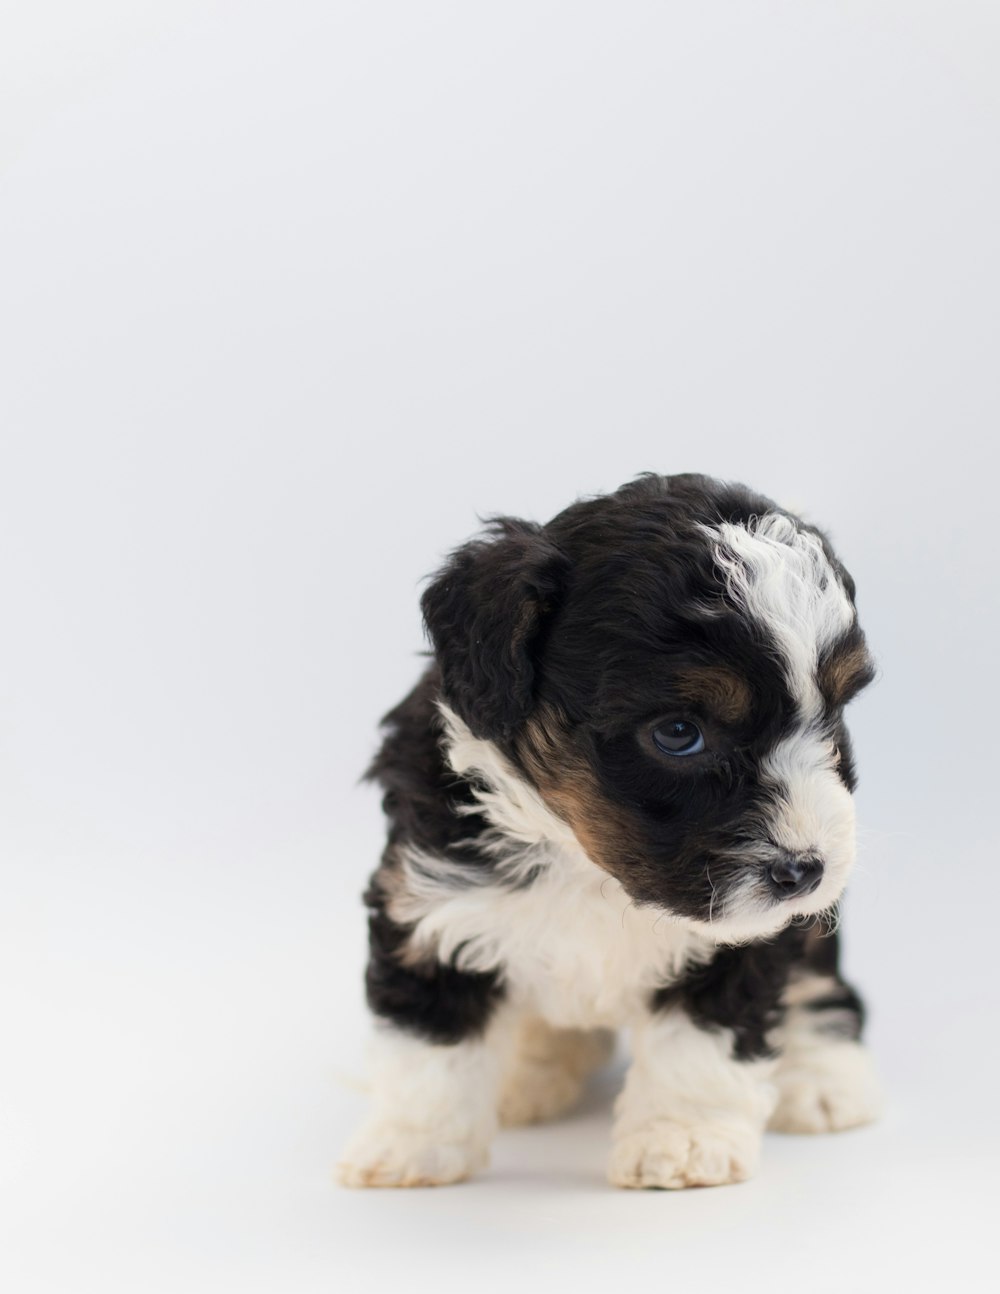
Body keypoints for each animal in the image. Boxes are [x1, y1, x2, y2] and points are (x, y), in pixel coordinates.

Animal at [336, 471, 879, 1185]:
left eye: (834, 714)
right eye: (677, 733)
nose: (806, 870)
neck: (584, 860)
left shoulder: (744, 941)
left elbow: (702, 1041)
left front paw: (682, 1142)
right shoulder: (428, 904)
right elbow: (431, 1040)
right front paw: (410, 1146)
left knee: (820, 982)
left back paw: (821, 1076)